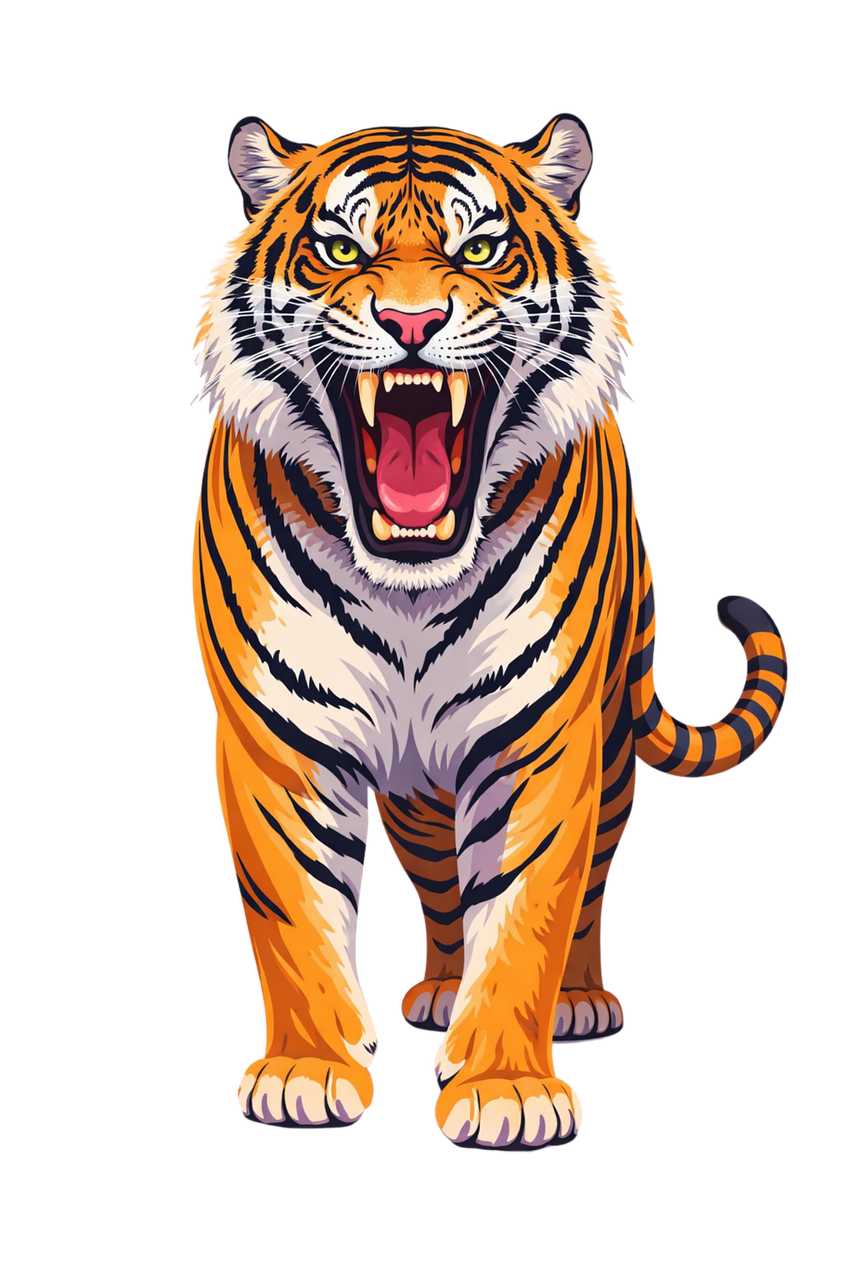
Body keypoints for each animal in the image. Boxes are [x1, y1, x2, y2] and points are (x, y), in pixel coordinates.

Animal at [190, 113, 788, 1151]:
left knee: (589, 880)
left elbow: (526, 917)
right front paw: (306, 1072)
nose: (412, 324)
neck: (408, 586)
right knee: (435, 889)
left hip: (608, 743)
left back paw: (580, 1002)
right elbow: (294, 913)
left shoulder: (540, 742)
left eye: (479, 250)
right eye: (340, 250)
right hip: (415, 796)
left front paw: (509, 1088)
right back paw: (433, 991)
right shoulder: (278, 740)